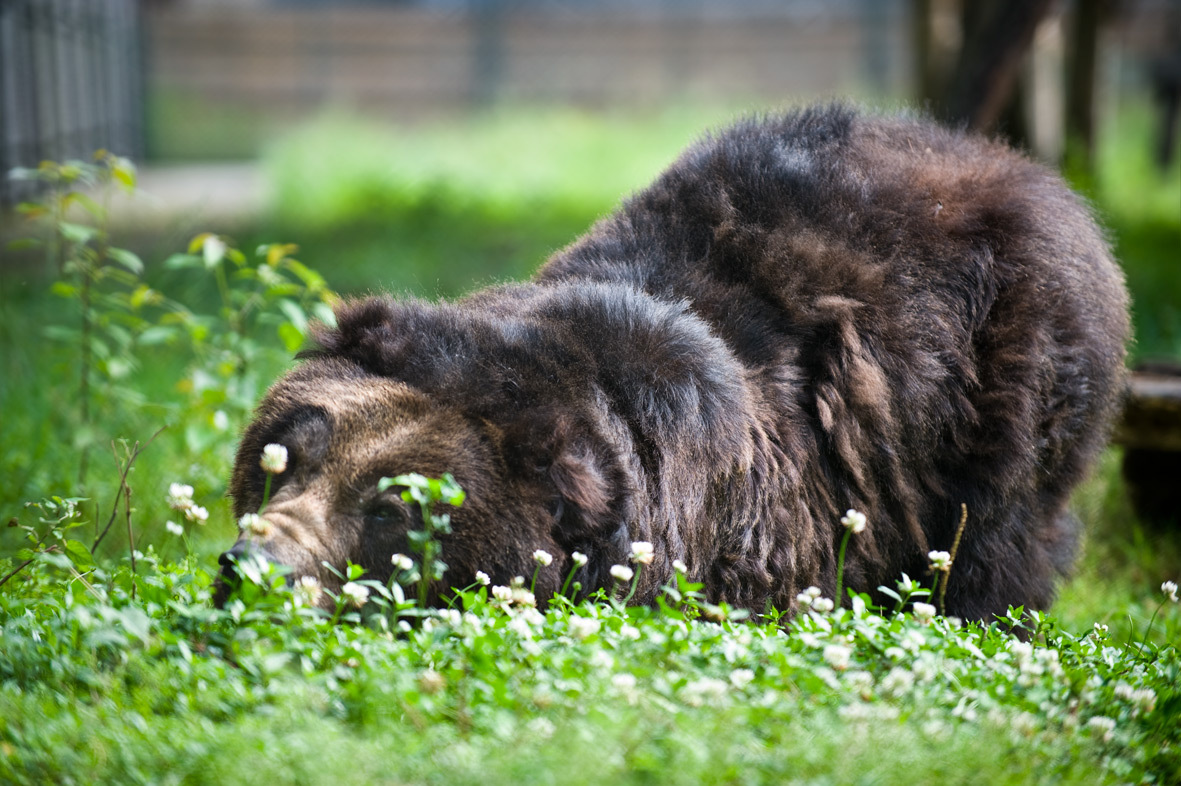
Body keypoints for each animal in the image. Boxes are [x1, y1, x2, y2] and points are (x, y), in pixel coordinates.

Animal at [217, 103, 1129, 618]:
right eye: (279, 457)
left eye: (395, 510)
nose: (254, 569)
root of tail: (1021, 165)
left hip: (1006, 378)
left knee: (994, 536)